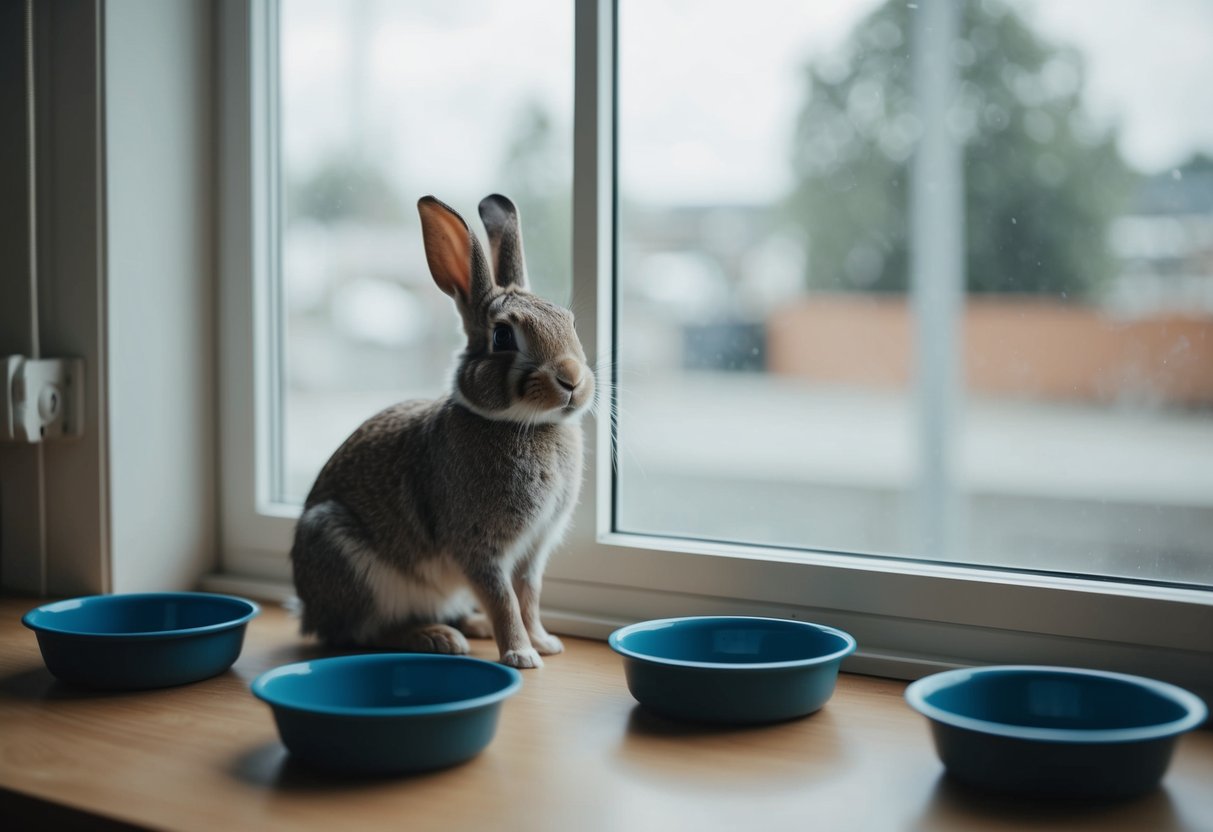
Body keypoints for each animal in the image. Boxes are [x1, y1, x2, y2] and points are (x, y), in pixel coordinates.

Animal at [289, 194, 594, 669]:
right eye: (503, 337)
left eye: (570, 322)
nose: (572, 379)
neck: (519, 422)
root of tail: (308, 610)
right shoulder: (478, 547)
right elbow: (504, 599)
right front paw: (522, 655)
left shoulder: (532, 550)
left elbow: (528, 596)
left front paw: (544, 643)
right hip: (351, 564)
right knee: (360, 634)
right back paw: (435, 638)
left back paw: (471, 626)